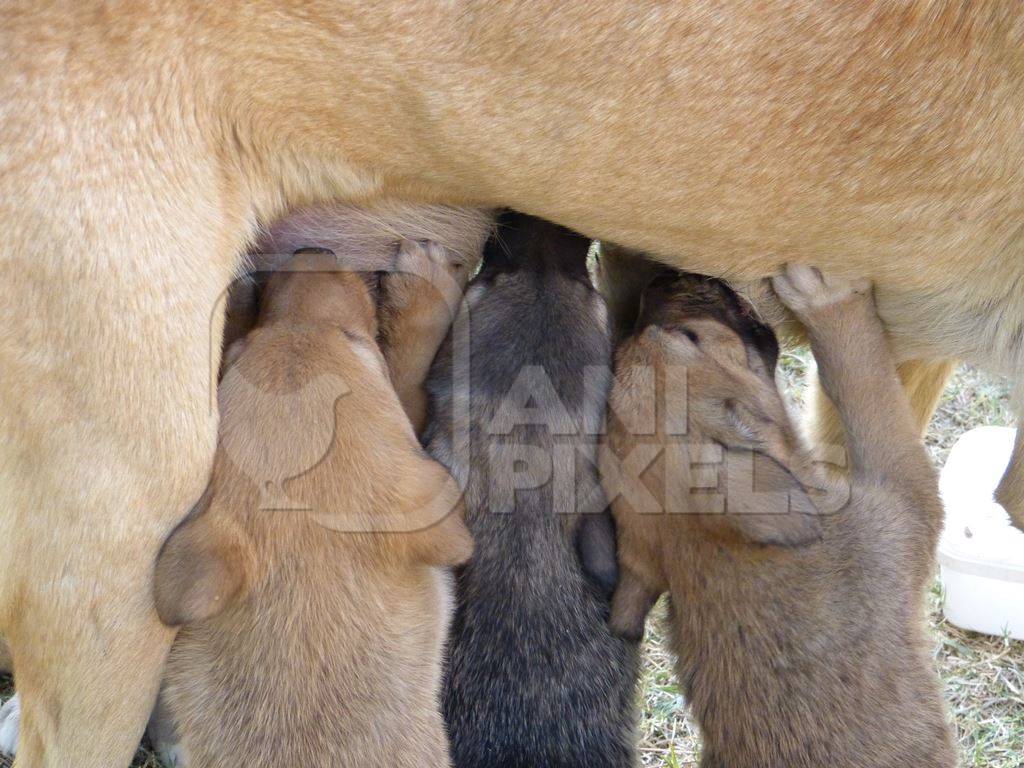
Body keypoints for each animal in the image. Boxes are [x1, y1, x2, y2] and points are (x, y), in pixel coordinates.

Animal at [602, 266, 954, 768]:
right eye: (688, 336)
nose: (659, 280)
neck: (714, 549)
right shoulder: (908, 501)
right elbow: (865, 383)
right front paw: (831, 299)